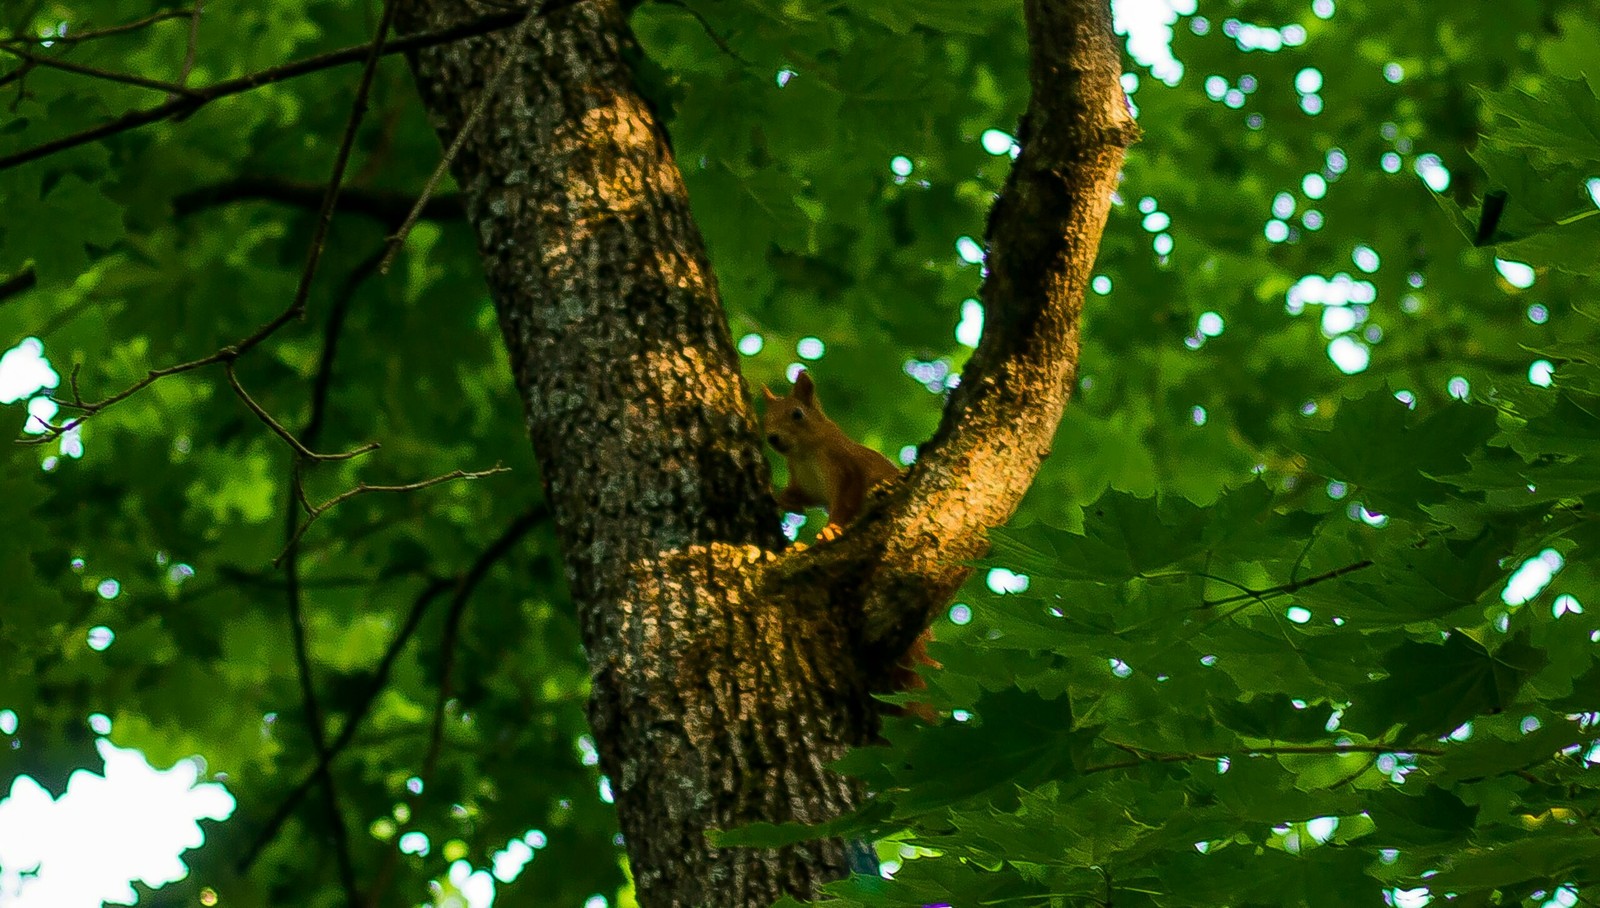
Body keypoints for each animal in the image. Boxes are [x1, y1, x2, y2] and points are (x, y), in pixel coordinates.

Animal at [758, 370, 934, 722]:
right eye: (765, 419)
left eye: (797, 414)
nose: (773, 439)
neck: (805, 454)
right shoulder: (804, 485)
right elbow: (795, 500)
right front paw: (772, 494)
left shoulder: (846, 471)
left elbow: (843, 506)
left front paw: (830, 531)